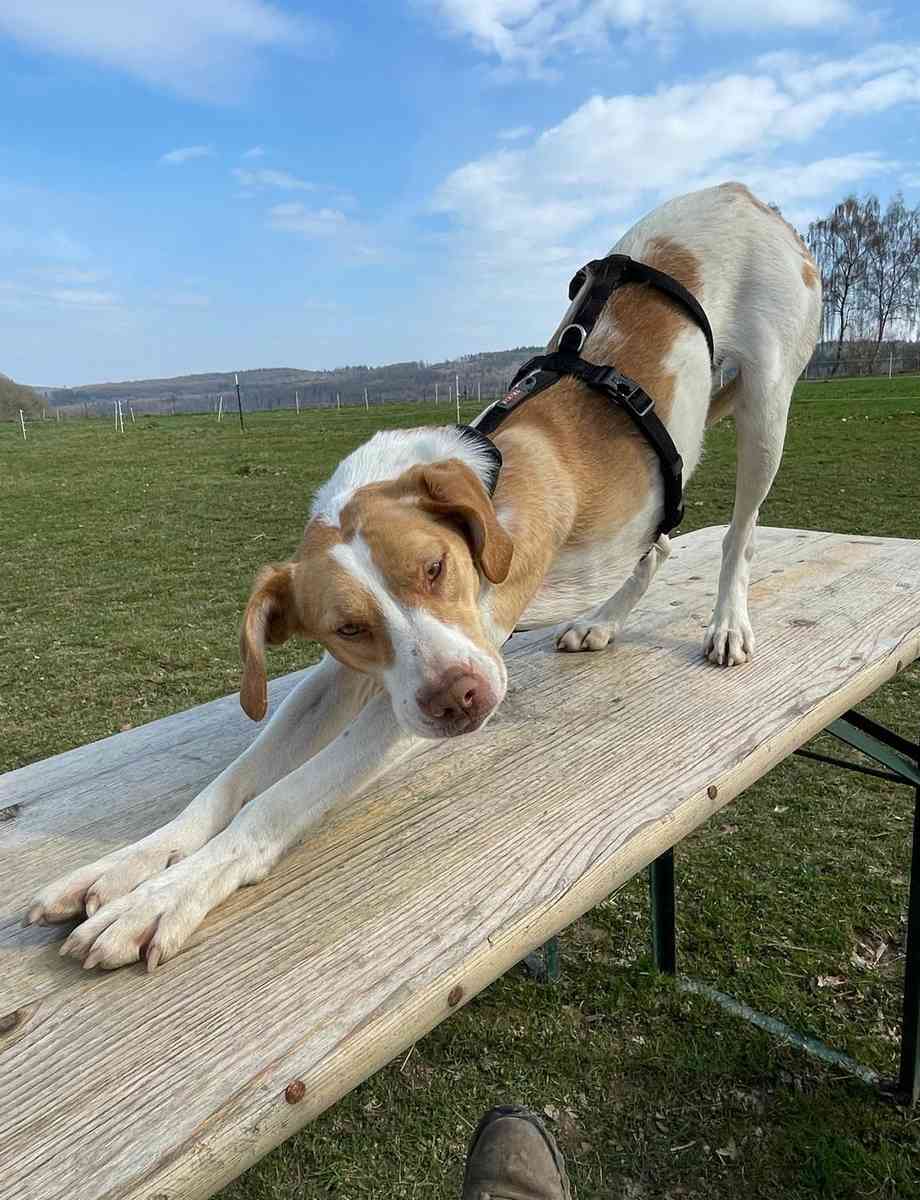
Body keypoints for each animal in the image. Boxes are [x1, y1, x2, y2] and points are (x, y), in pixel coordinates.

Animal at [26, 182, 822, 970]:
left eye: (437, 568)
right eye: (348, 627)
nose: (458, 700)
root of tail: (742, 193)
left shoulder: (414, 698)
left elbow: (277, 799)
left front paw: (163, 900)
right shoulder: (342, 680)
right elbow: (232, 782)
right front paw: (126, 866)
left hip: (767, 408)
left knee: (740, 534)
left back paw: (727, 624)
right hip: (660, 485)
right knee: (656, 543)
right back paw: (602, 621)